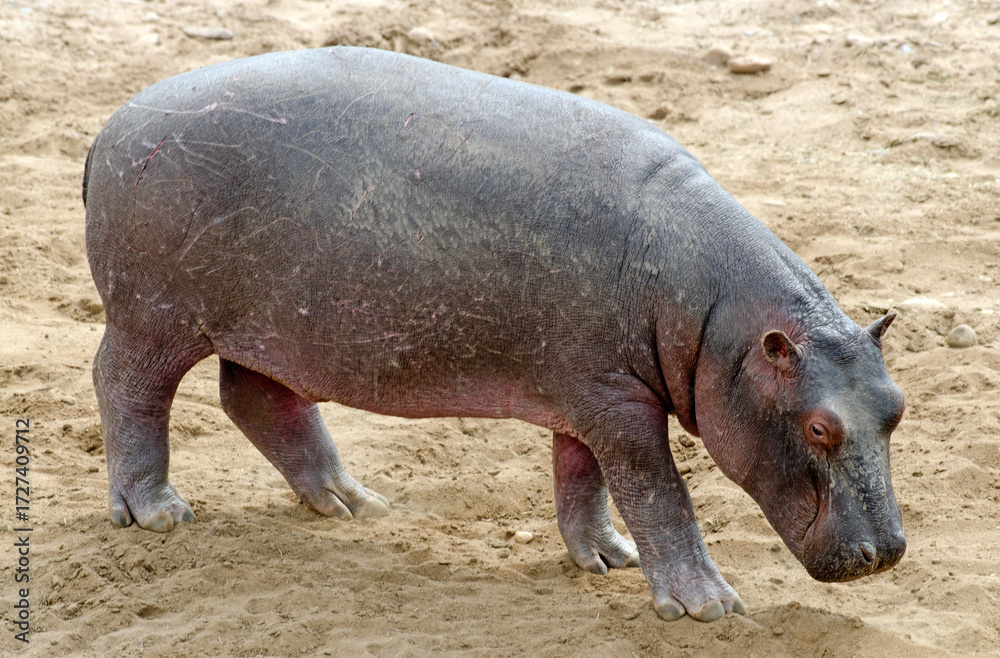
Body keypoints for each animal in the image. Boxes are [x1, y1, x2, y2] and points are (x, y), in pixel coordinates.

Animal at [83, 47, 906, 622]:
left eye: (897, 408)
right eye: (820, 427)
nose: (890, 552)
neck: (718, 320)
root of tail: (109, 126)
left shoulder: (590, 394)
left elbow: (583, 479)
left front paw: (607, 559)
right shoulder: (618, 404)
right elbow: (657, 490)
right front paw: (709, 607)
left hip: (279, 327)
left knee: (257, 398)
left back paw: (354, 504)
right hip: (154, 317)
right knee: (128, 389)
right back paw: (158, 513)